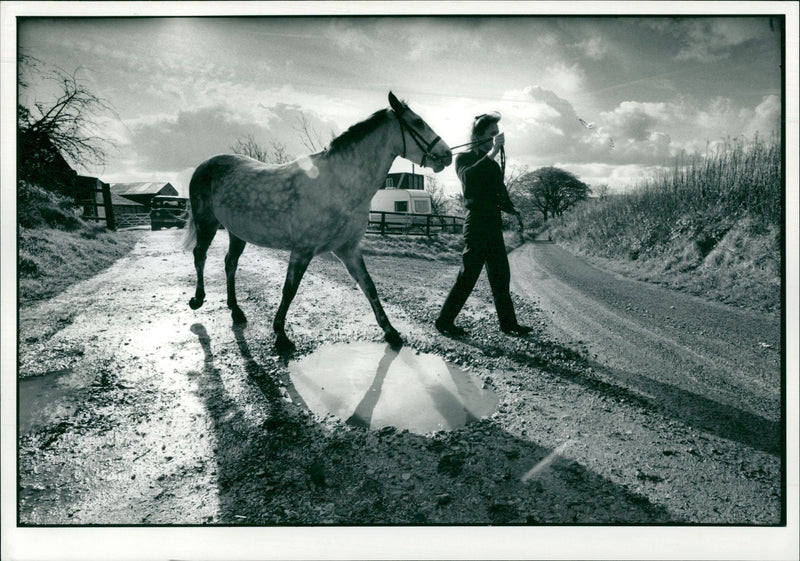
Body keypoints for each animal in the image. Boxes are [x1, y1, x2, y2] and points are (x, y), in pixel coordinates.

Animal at [184, 92, 454, 352]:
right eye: (418, 122)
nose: (447, 155)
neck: (338, 183)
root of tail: (204, 165)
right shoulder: (302, 250)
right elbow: (289, 290)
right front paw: (280, 335)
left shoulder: (348, 249)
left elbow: (369, 286)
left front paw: (391, 332)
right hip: (206, 223)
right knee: (200, 255)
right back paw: (198, 299)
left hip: (236, 233)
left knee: (230, 263)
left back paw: (236, 311)